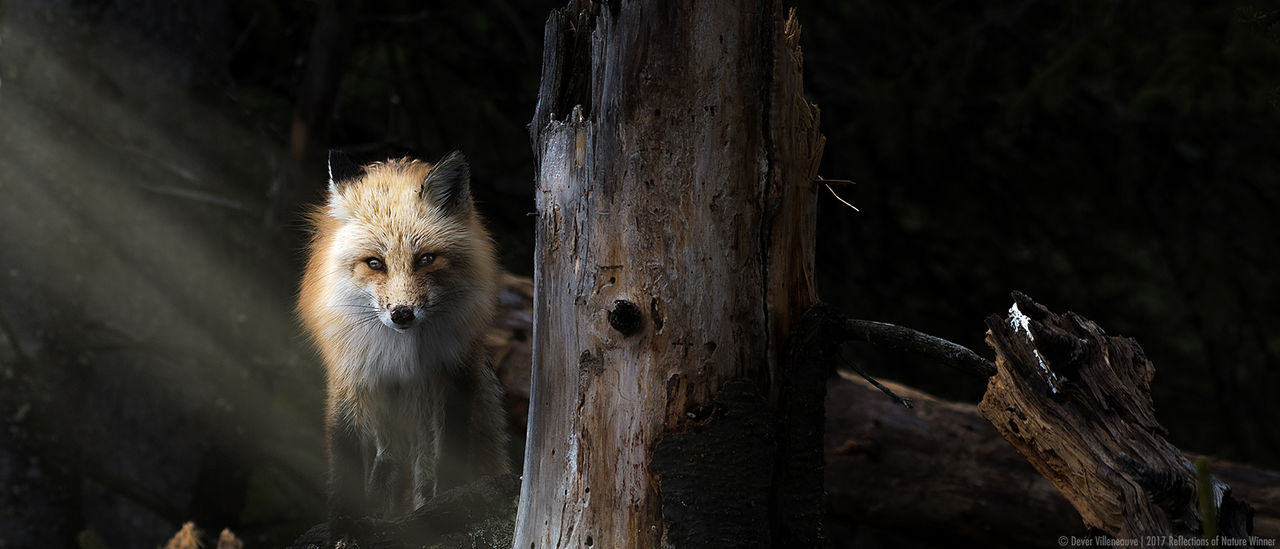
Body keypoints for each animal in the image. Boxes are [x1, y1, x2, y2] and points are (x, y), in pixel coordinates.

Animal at [297, 150, 510, 543]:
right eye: (374, 263)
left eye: (425, 259)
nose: (402, 314)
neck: (402, 353)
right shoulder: (352, 374)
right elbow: (347, 456)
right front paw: (345, 527)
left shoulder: (453, 371)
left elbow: (445, 457)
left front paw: (447, 507)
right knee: (387, 463)